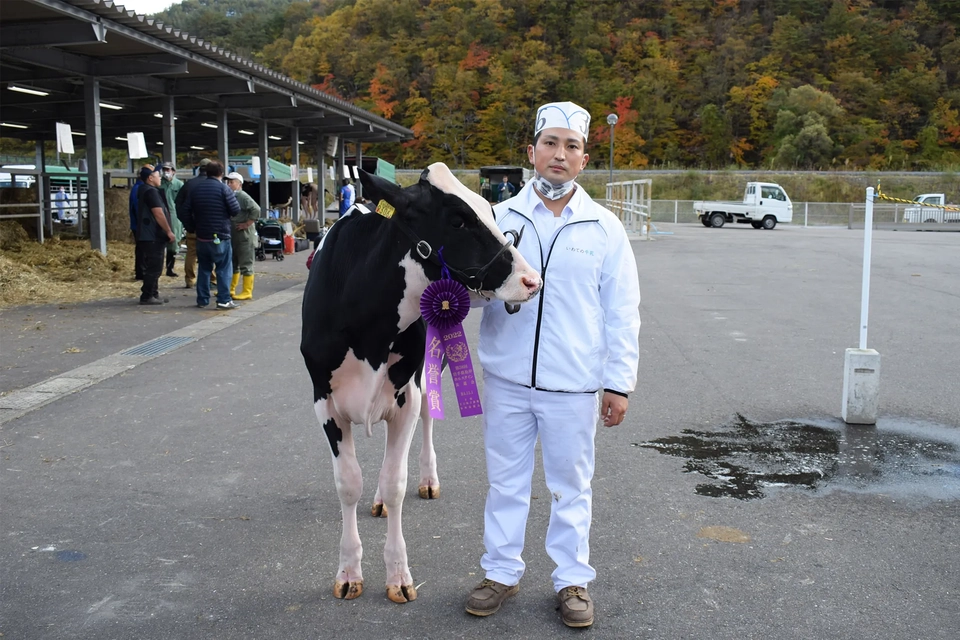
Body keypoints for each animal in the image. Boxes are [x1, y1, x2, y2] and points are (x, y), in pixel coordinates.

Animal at [302, 162, 540, 604]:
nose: (532, 280)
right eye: (458, 220)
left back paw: (428, 480)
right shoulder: (323, 401)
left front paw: (398, 575)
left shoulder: (406, 394)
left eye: (491, 211)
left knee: (428, 415)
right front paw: (348, 572)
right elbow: (349, 484)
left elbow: (395, 481)